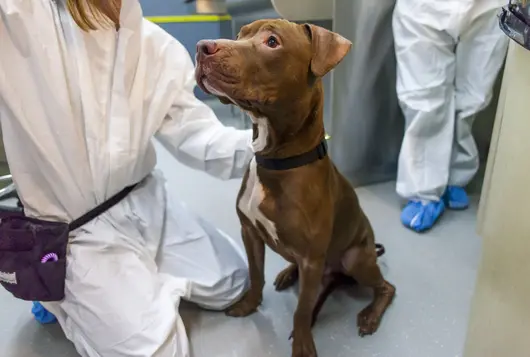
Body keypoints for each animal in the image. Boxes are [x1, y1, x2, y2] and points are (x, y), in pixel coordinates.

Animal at [194, 19, 392, 356]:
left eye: (272, 41)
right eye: (240, 35)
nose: (202, 46)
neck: (275, 161)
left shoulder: (312, 259)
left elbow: (301, 311)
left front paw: (302, 345)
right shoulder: (249, 232)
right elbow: (256, 275)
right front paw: (249, 305)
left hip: (355, 258)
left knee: (385, 287)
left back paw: (370, 316)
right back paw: (288, 273)